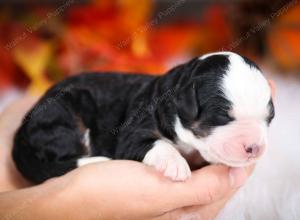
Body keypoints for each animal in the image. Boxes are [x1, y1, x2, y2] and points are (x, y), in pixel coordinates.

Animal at [12, 50, 274, 183]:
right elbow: (156, 144)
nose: (255, 148)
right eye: (222, 117)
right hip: (62, 116)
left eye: (269, 118)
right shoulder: (134, 132)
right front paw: (175, 164)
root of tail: (23, 127)